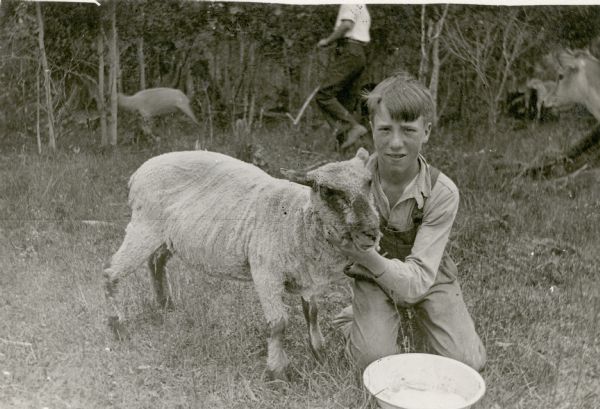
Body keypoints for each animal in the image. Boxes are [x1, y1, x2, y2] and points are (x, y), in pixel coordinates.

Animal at [103, 147, 380, 380]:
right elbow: (278, 323)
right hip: (144, 226)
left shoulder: (307, 278)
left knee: (156, 261)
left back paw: (165, 304)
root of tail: (140, 171)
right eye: (327, 190)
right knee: (110, 273)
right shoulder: (265, 272)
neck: (298, 221)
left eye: (369, 182)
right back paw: (118, 327)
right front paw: (278, 373)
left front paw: (319, 354)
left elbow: (312, 313)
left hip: (169, 236)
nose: (371, 233)